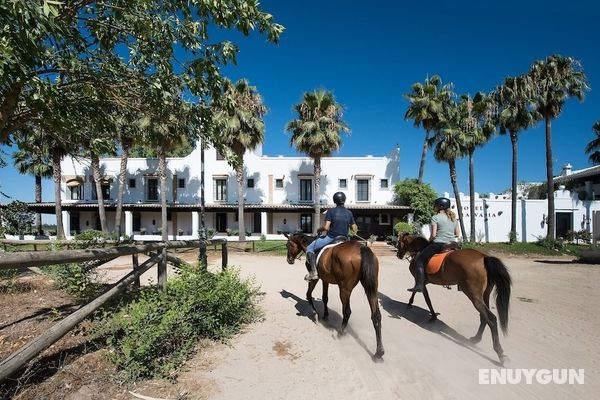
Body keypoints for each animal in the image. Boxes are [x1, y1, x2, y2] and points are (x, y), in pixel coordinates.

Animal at [396, 231, 512, 366]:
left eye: (398, 242)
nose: (398, 255)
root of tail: (484, 258)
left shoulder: (421, 282)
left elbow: (424, 297)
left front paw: (430, 315)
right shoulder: (425, 282)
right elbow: (419, 294)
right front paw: (414, 305)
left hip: (474, 295)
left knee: (491, 319)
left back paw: (500, 353)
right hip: (484, 295)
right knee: (484, 317)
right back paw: (475, 339)